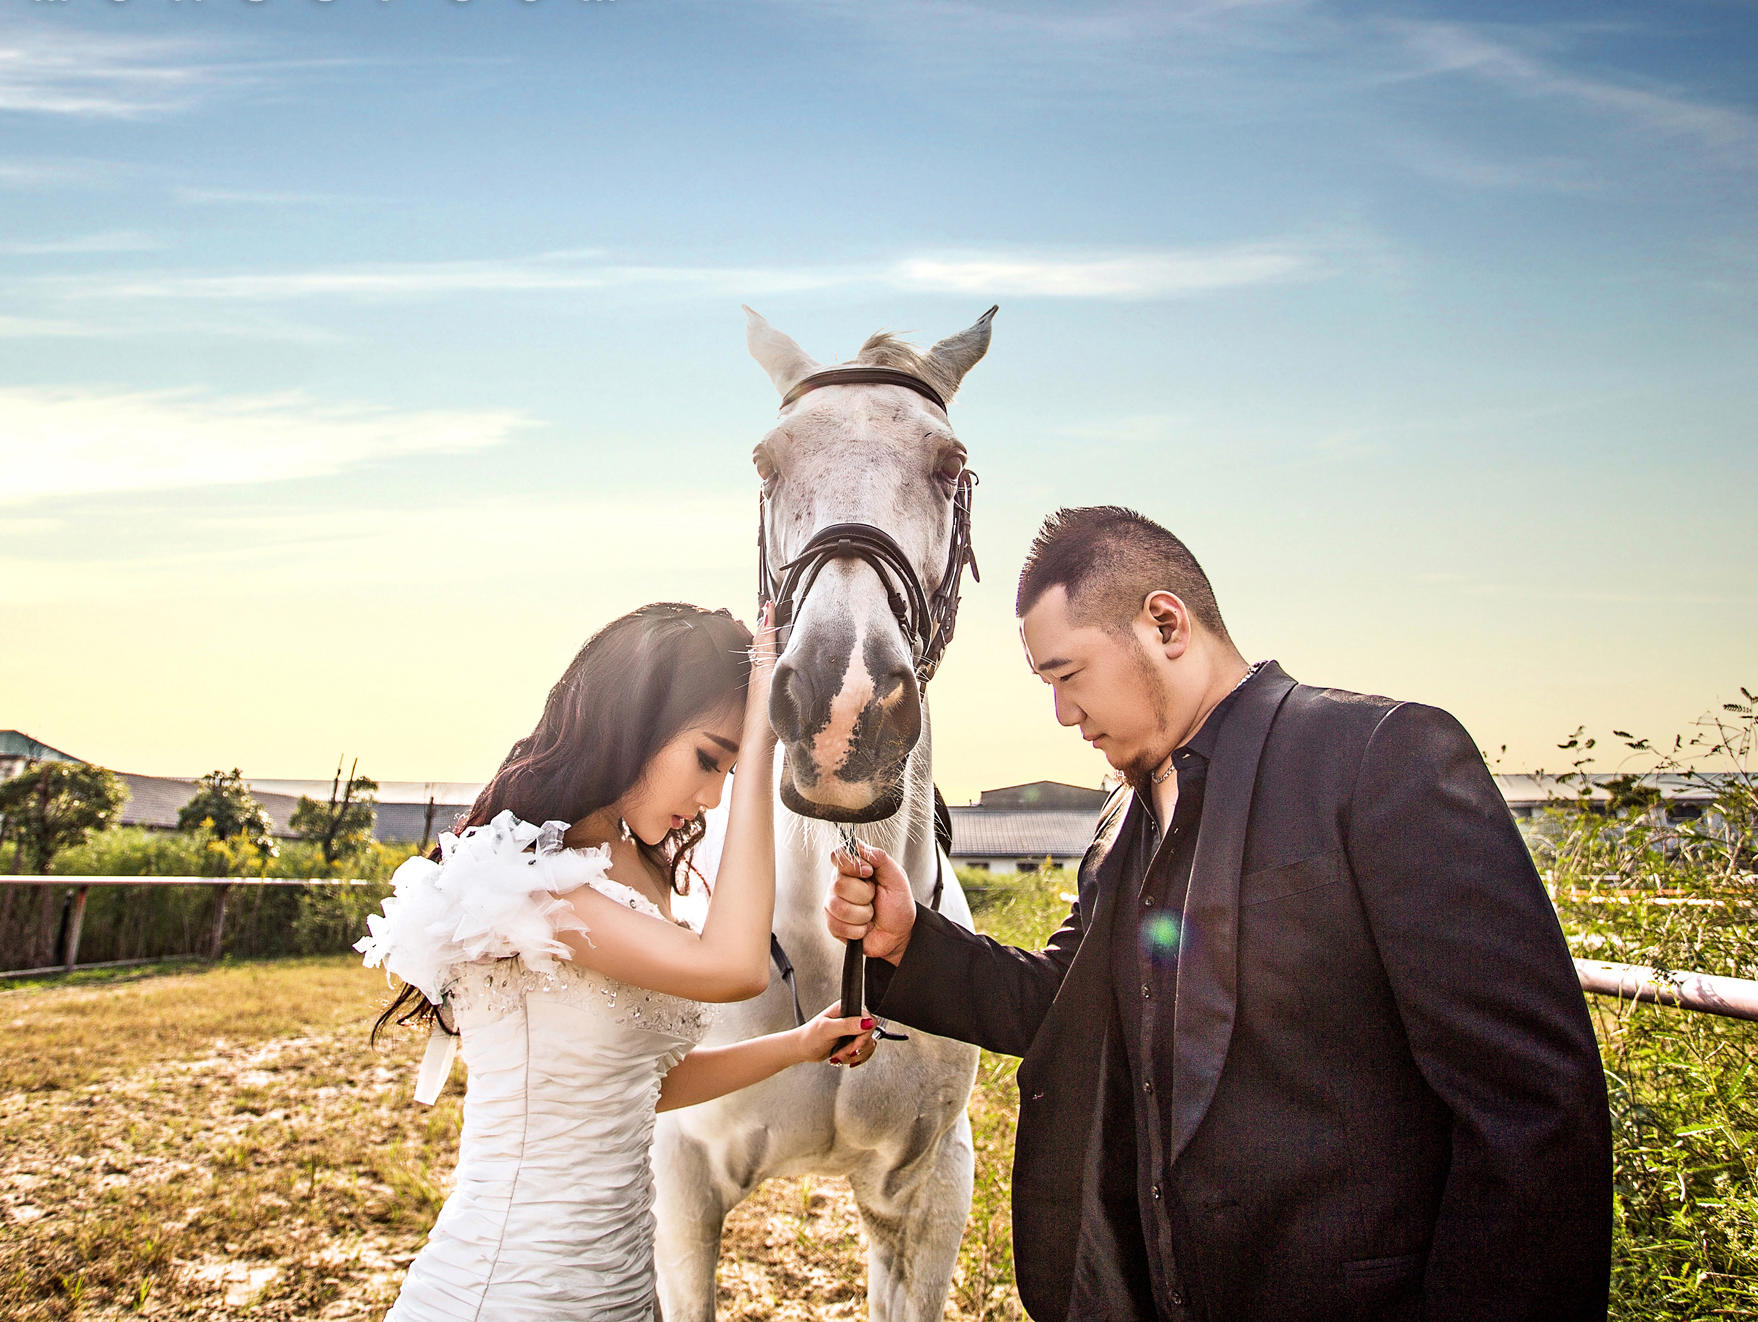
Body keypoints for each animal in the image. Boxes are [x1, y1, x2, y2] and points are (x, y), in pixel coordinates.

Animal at [653, 307, 998, 1322]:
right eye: (766, 462)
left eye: (948, 462)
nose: (844, 713)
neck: (820, 948)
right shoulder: (680, 1183)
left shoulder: (927, 1194)